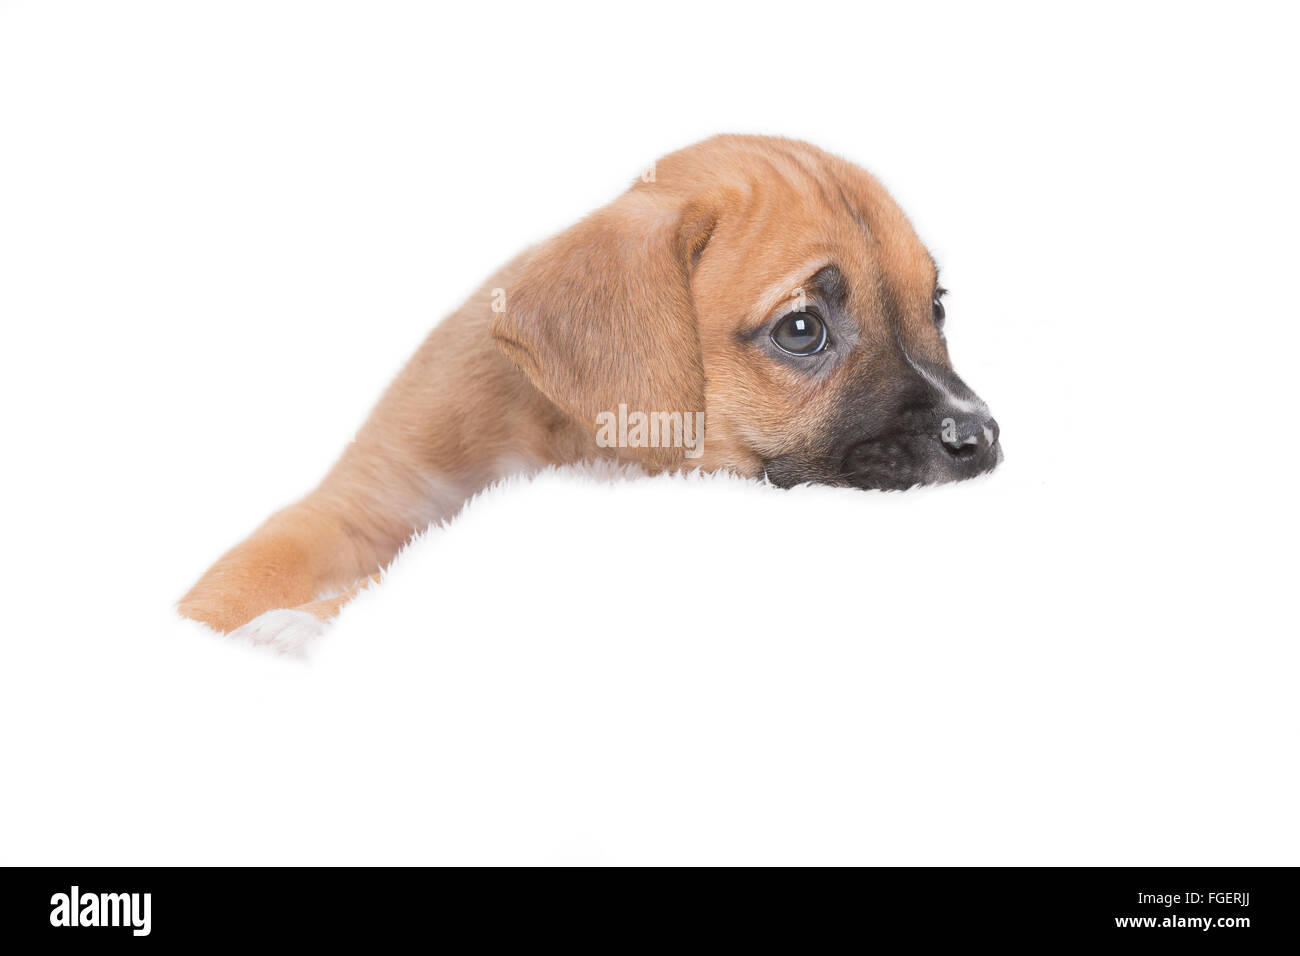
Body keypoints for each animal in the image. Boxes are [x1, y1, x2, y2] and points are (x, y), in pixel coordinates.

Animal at [178, 134, 998, 642]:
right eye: (801, 330)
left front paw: (300, 623)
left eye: (936, 307)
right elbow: (242, 572)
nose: (982, 437)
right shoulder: (362, 507)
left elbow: (372, 587)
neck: (543, 431)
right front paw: (199, 630)